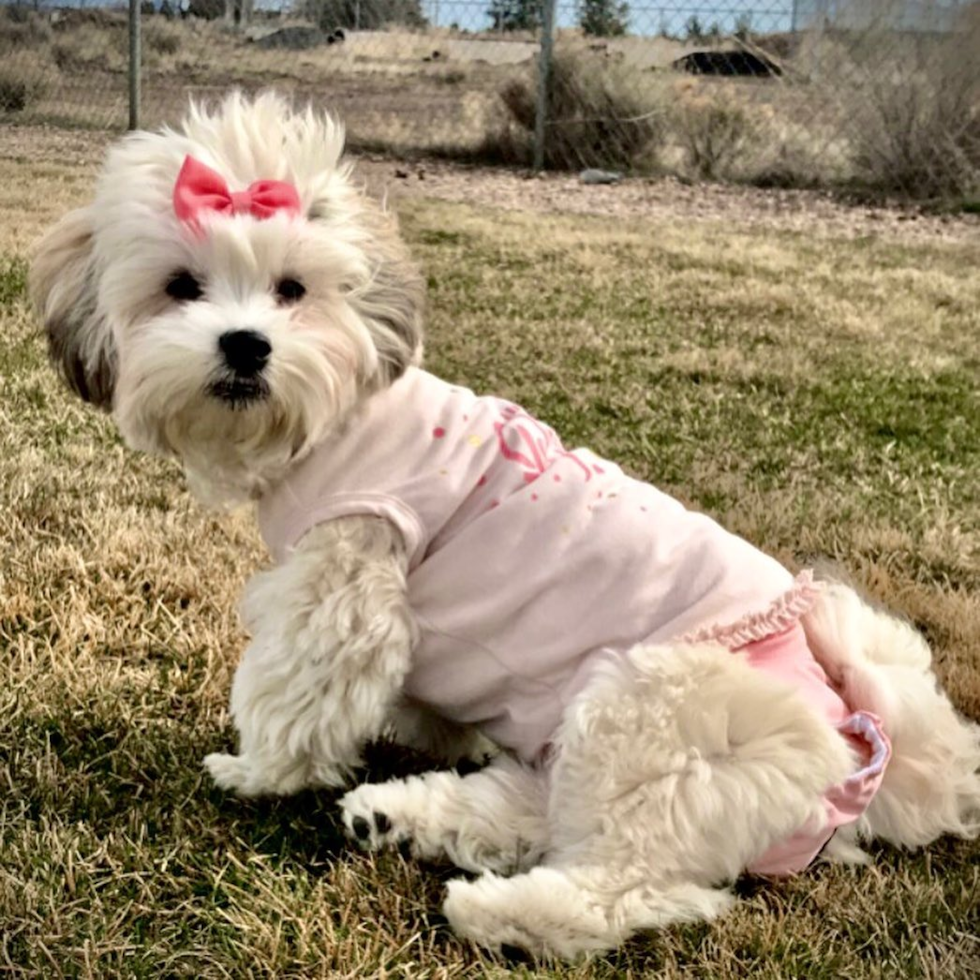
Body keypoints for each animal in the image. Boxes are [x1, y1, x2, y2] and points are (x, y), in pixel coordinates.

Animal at [30, 92, 980, 956]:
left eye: (292, 290)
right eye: (181, 287)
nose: (244, 344)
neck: (333, 416)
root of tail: (859, 757)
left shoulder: (343, 579)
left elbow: (299, 690)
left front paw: (258, 773)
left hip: (644, 719)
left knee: (626, 883)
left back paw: (499, 911)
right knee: (536, 809)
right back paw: (399, 816)